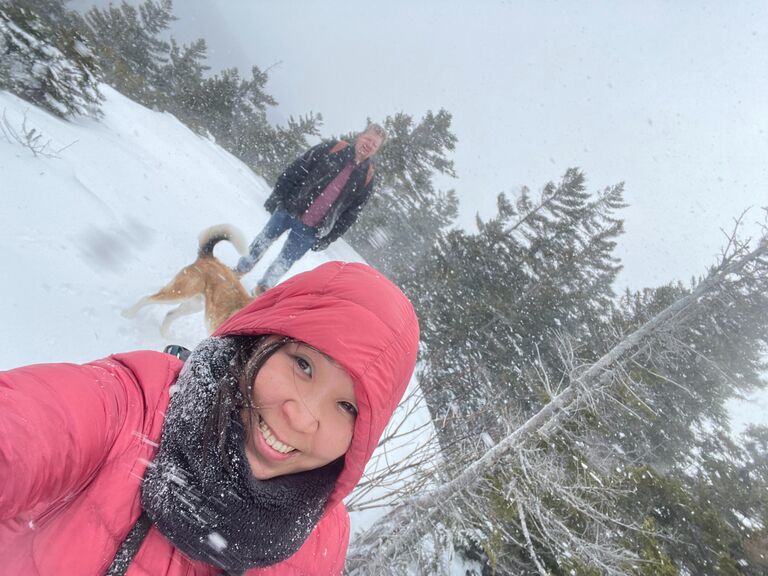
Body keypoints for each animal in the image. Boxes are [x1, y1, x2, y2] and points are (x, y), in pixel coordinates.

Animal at [124, 223, 252, 336]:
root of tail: (209, 258)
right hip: (180, 293)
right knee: (147, 299)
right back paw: (128, 314)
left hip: (194, 305)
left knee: (170, 314)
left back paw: (165, 336)